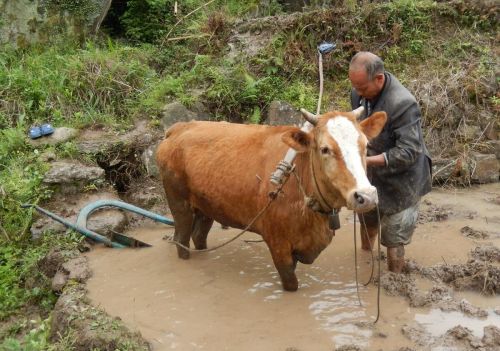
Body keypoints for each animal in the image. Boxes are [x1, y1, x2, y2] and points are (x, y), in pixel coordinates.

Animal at [156, 108, 386, 292]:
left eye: (365, 144)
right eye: (325, 149)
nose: (366, 196)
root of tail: (178, 128)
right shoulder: (278, 244)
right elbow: (290, 282)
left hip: (207, 207)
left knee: (198, 236)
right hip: (179, 203)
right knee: (181, 238)